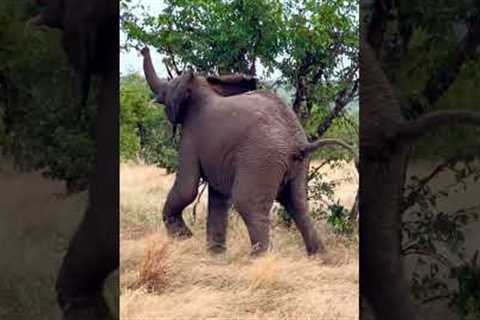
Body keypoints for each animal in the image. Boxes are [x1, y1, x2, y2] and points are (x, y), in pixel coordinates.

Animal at [141, 47, 354, 255]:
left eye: (167, 88)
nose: (143, 49)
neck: (205, 87)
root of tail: (298, 143)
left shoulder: (191, 137)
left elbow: (187, 188)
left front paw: (184, 237)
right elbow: (218, 197)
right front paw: (215, 255)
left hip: (261, 160)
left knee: (249, 204)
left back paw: (258, 259)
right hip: (298, 164)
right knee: (298, 205)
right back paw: (319, 258)